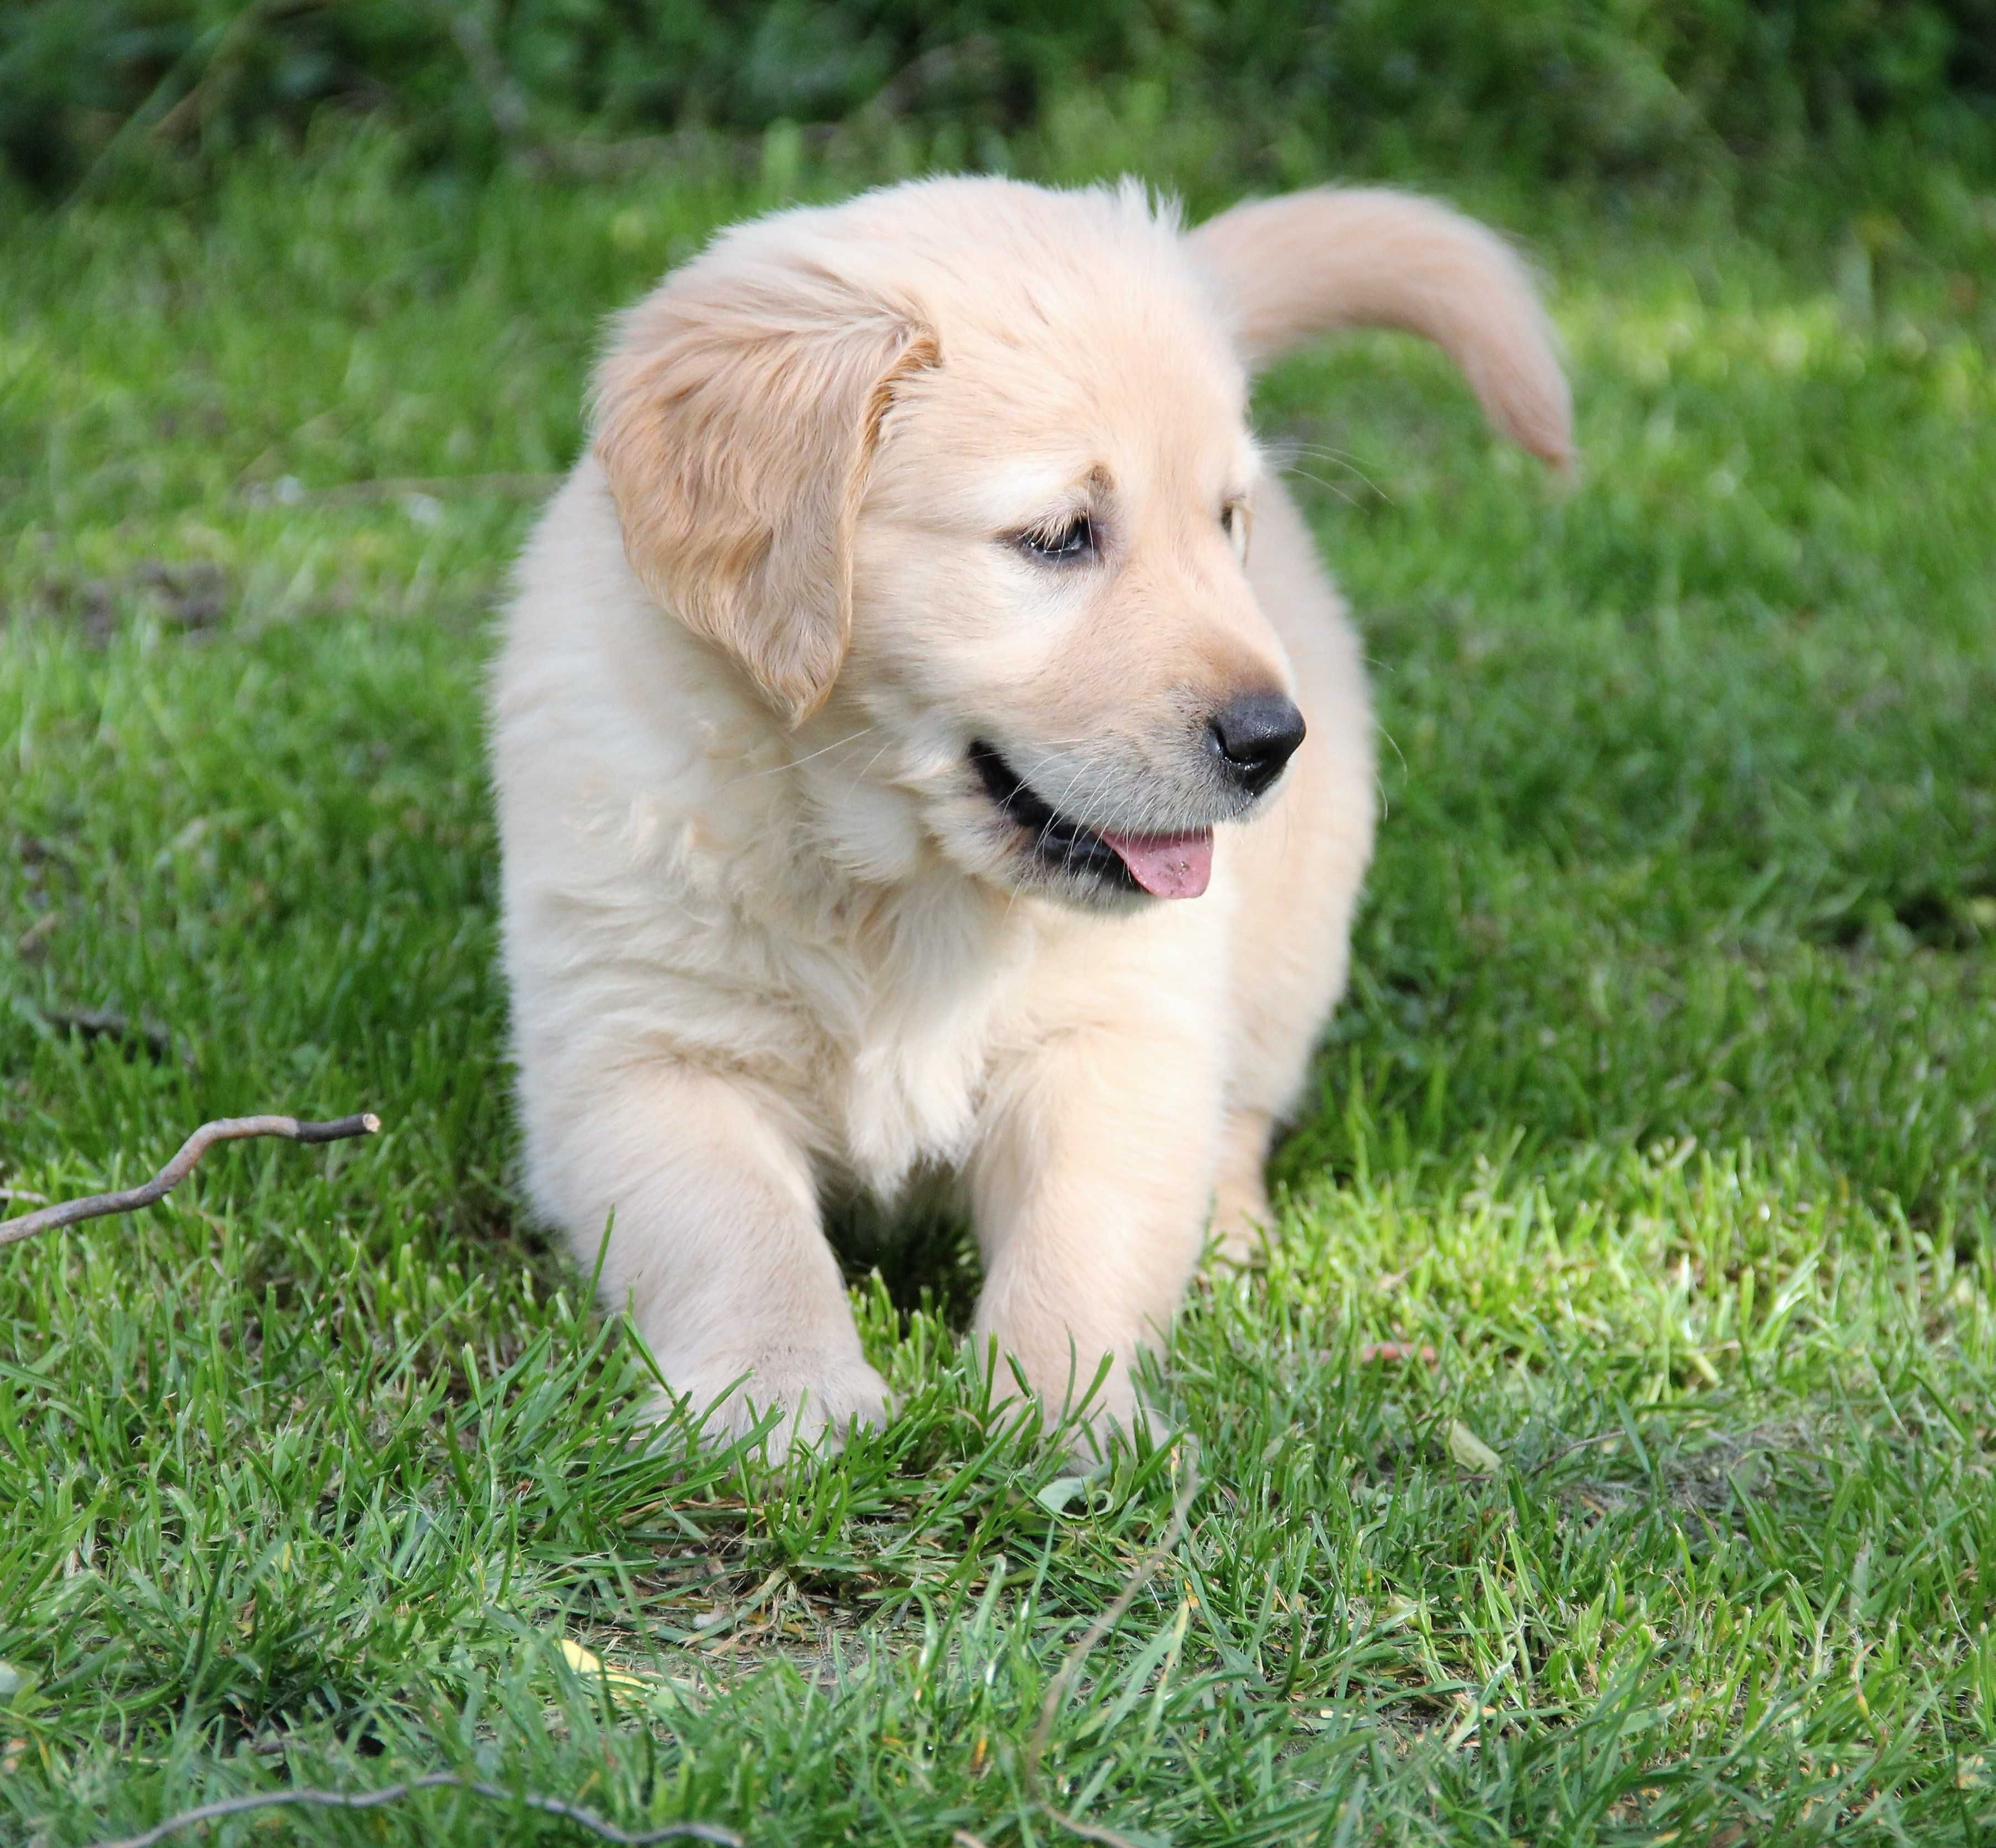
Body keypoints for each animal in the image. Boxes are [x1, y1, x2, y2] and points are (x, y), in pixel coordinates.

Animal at [487, 178, 1572, 1444]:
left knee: (1240, 1102)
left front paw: (1066, 1415)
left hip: (1291, 940)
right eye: (1058, 538)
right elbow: (736, 1231)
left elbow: (1083, 1237)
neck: (890, 875)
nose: (1271, 741)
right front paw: (784, 1398)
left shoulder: (1115, 1036)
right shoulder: (642, 1048)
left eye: (1225, 522)